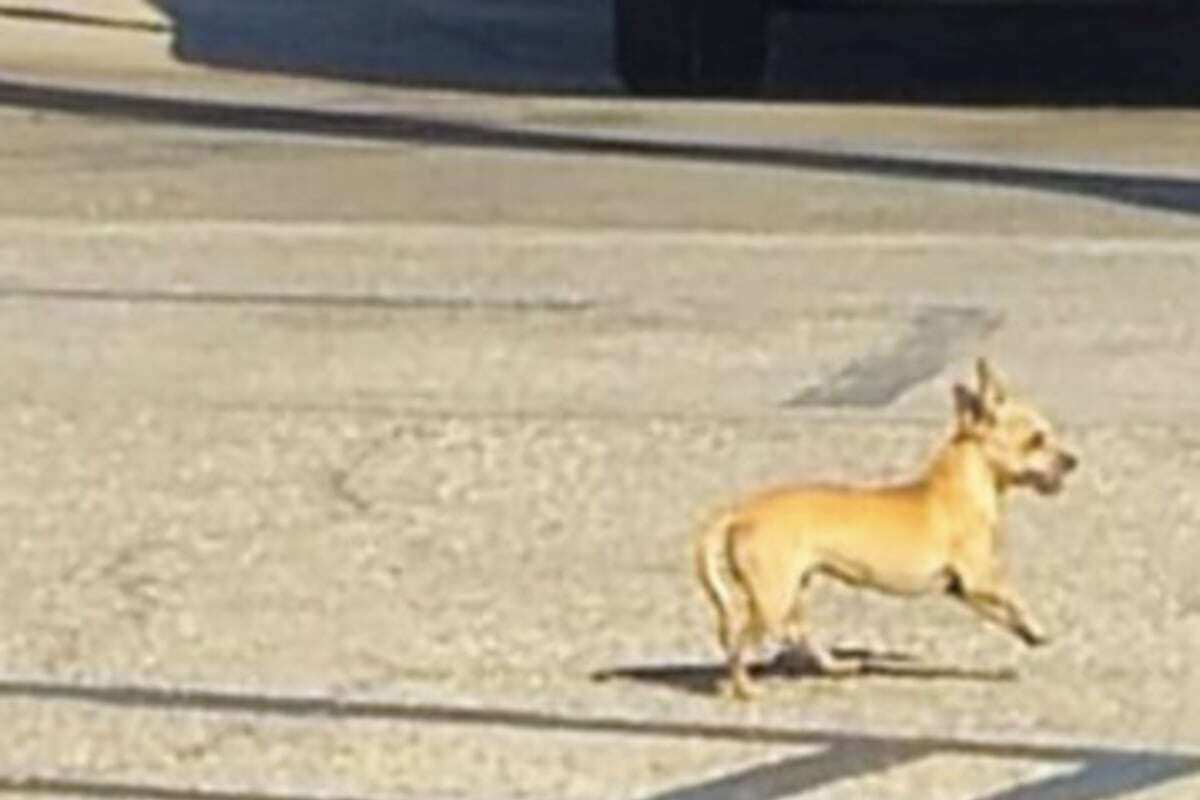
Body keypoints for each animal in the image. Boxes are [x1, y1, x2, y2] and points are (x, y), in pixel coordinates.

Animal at [696, 359, 1080, 695]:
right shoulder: (980, 579)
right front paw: (1035, 626)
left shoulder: (964, 590)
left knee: (792, 632)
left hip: (791, 589)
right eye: (1036, 440)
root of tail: (740, 511)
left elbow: (1004, 613)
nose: (1073, 461)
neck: (960, 487)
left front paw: (1030, 634)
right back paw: (743, 687)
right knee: (739, 638)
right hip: (772, 597)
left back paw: (833, 666)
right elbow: (1015, 597)